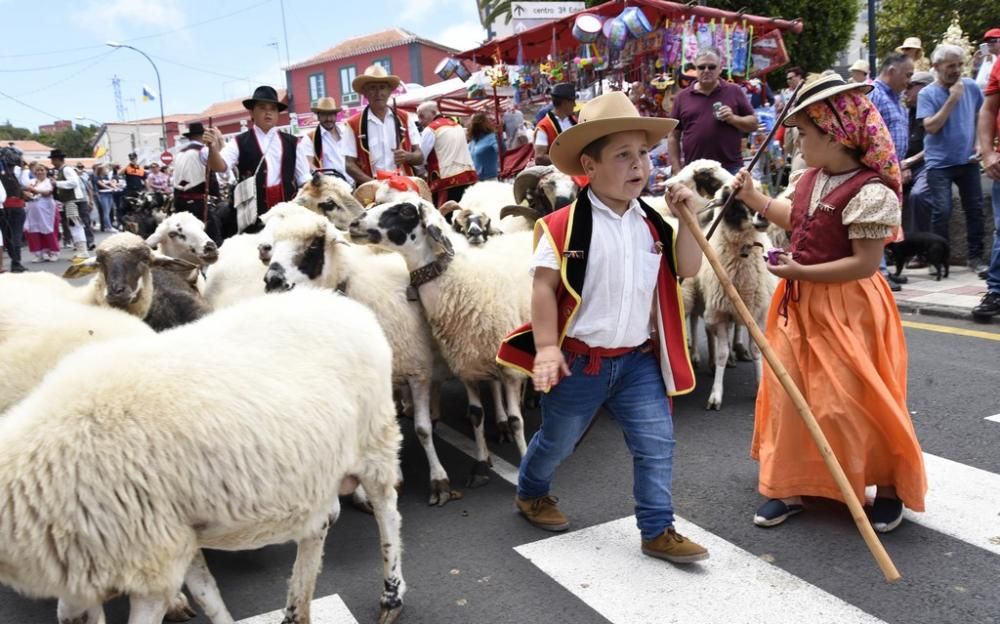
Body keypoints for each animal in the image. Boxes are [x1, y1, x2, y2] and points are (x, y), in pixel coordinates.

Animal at [0, 288, 408, 624]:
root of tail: (346, 304)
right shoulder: (168, 539)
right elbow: (205, 592)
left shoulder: (151, 560)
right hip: (318, 469)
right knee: (316, 529)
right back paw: (296, 610)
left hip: (375, 439)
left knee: (388, 512)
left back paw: (391, 595)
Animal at [348, 197, 536, 486]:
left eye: (406, 211)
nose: (354, 223)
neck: (461, 282)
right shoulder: (467, 363)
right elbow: (476, 414)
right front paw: (481, 465)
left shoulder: (508, 368)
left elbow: (516, 420)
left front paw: (525, 458)